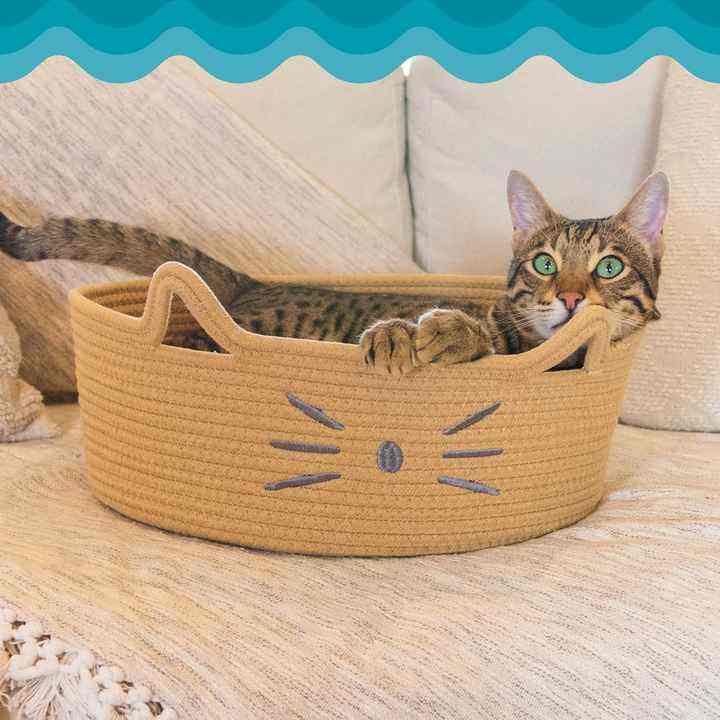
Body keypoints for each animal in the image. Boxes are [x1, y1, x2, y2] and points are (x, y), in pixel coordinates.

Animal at [0, 170, 668, 374]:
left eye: (609, 267)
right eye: (544, 263)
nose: (573, 299)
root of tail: (253, 281)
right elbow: (476, 330)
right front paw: (419, 332)